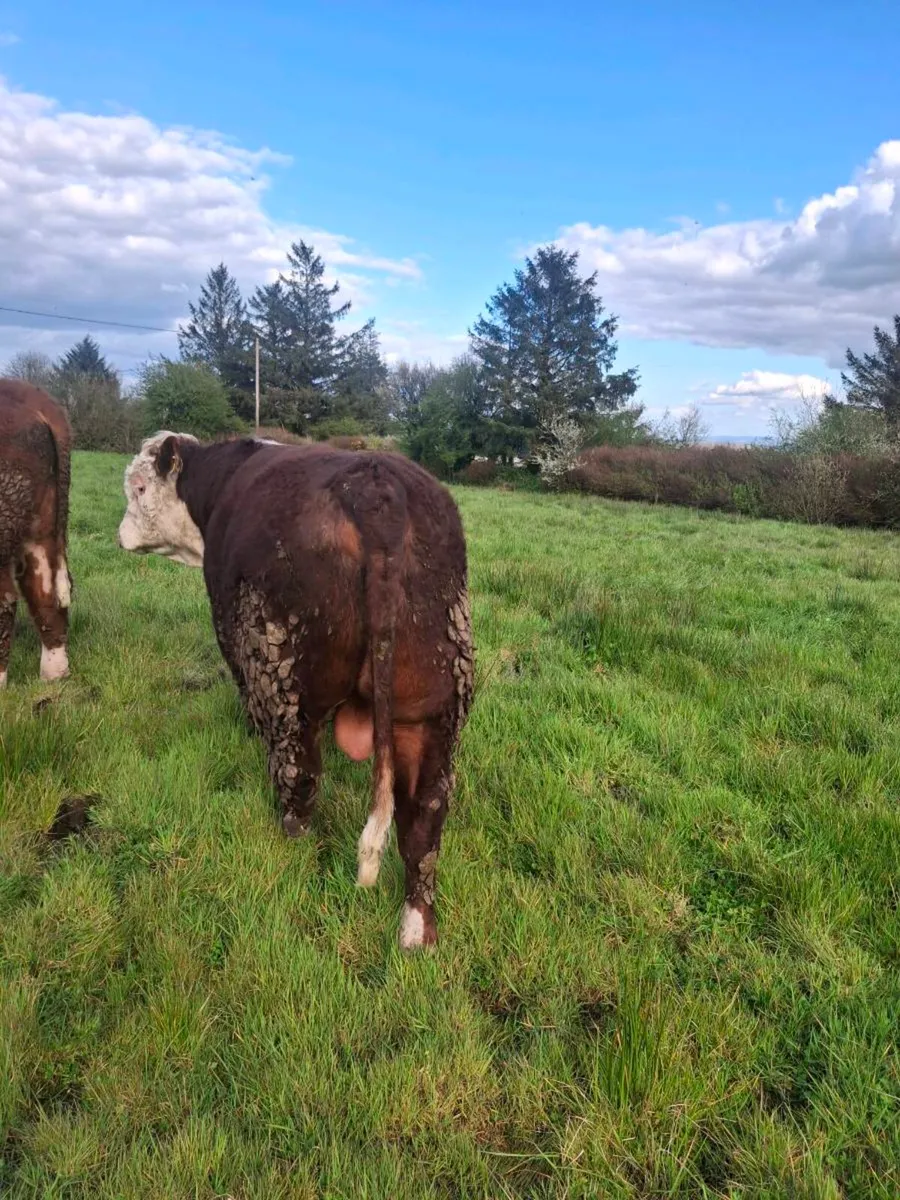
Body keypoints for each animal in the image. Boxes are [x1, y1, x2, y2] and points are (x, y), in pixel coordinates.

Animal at [118, 432, 474, 950]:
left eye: (140, 488)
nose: (120, 535)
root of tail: (376, 487)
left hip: (289, 689)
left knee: (300, 776)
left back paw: (289, 838)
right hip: (433, 710)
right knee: (425, 814)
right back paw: (415, 930)